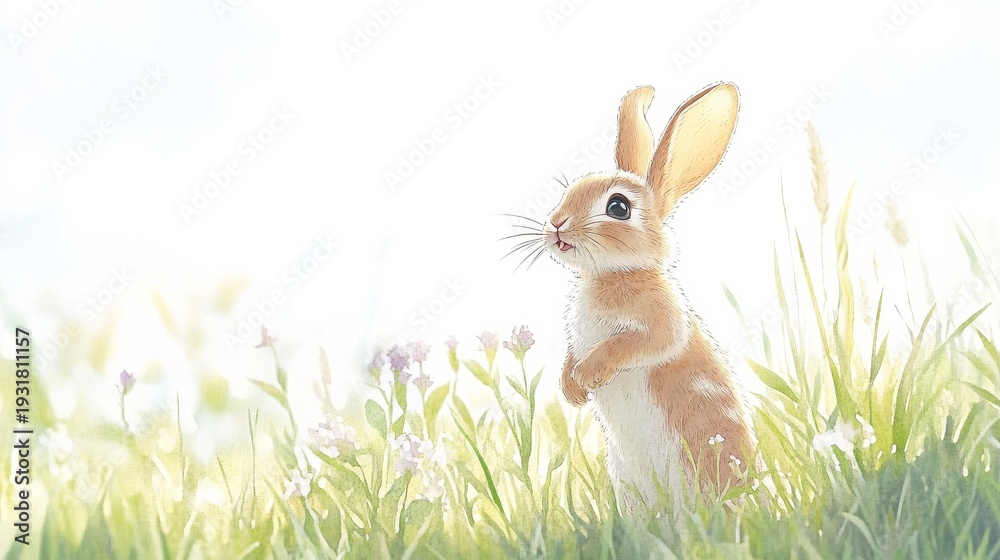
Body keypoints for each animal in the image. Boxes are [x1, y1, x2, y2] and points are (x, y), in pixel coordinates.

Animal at [544, 83, 755, 515]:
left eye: (618, 207)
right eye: (568, 191)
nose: (556, 224)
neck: (616, 274)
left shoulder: (661, 323)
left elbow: (637, 344)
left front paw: (589, 375)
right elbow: (573, 354)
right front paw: (572, 388)